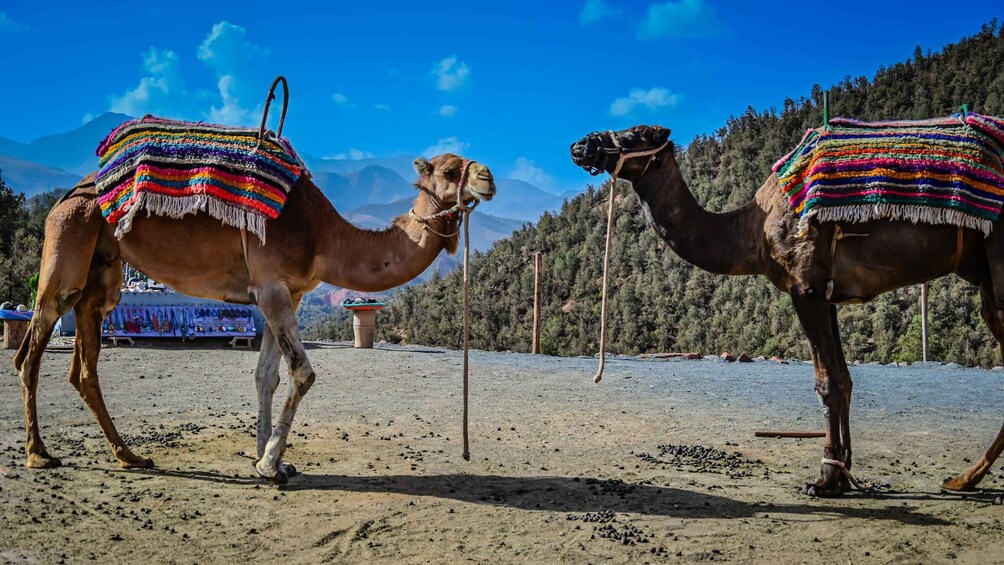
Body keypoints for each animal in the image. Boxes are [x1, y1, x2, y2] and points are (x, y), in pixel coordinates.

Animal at [13, 153, 495, 483]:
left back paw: (129, 456)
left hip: (103, 273)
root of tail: (69, 195)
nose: (487, 177)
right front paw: (268, 464)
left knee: (84, 365)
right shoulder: (272, 288)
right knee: (30, 351)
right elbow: (302, 372)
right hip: (67, 242)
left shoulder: (285, 294)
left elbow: (267, 375)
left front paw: (271, 458)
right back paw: (39, 454)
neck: (324, 236)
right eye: (449, 171)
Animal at [570, 125, 1004, 497]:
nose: (581, 145)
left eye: (634, 135)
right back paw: (962, 480)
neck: (752, 233)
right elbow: (845, 380)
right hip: (984, 276)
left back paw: (965, 480)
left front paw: (825, 480)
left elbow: (827, 383)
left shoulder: (805, 287)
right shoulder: (828, 294)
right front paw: (843, 474)